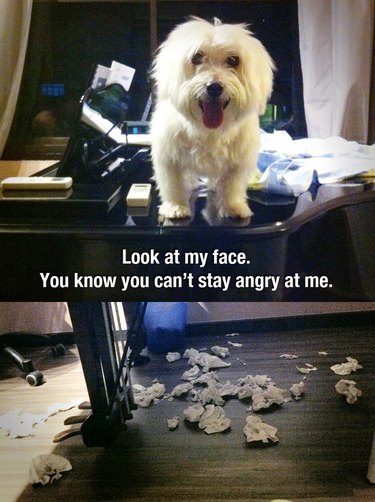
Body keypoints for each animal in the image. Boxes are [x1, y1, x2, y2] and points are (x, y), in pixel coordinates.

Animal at [151, 17, 276, 220]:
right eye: (196, 57)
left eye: (233, 60)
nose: (214, 87)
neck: (209, 131)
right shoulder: (169, 156)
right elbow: (174, 183)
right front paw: (176, 207)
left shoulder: (237, 161)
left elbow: (232, 185)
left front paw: (233, 207)